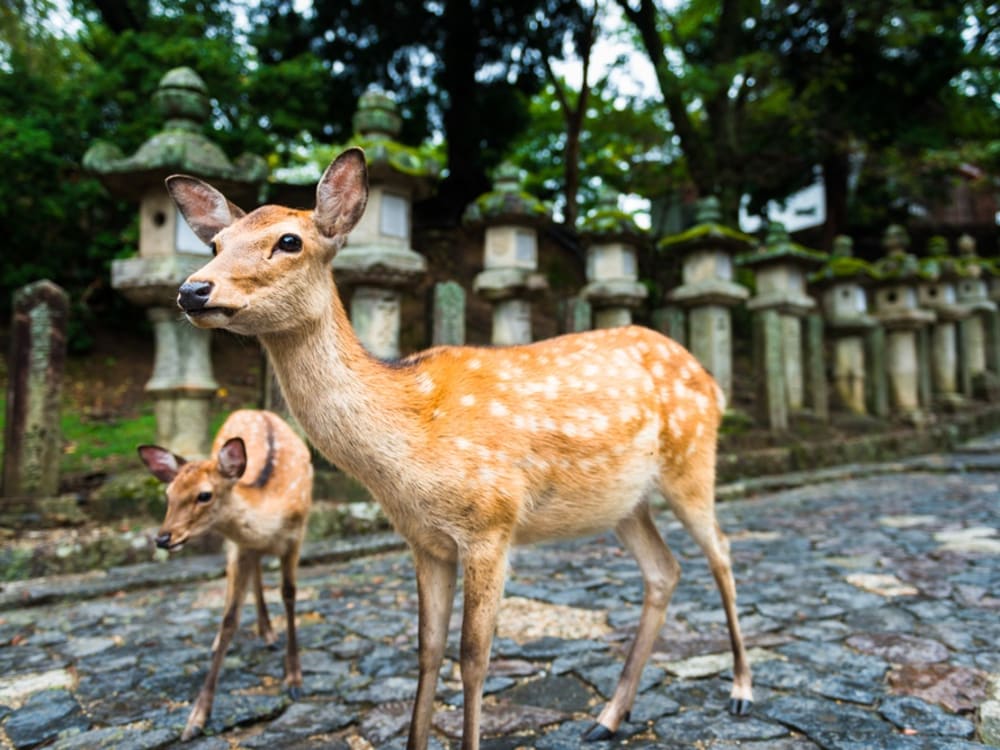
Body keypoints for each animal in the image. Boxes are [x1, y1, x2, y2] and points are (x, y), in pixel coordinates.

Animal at [135, 408, 310, 744]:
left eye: (205, 495)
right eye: (168, 494)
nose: (162, 538)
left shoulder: (296, 537)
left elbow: (289, 595)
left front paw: (294, 679)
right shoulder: (241, 547)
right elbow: (229, 618)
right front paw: (196, 719)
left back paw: (269, 633)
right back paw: (256, 633)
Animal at [168, 148, 752, 750]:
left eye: (289, 240)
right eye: (215, 244)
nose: (193, 291)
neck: (406, 450)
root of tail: (711, 382)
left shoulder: (491, 524)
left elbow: (472, 658)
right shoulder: (425, 541)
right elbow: (427, 651)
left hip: (692, 463)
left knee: (723, 552)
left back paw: (740, 690)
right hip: (624, 504)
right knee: (664, 570)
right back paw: (609, 716)